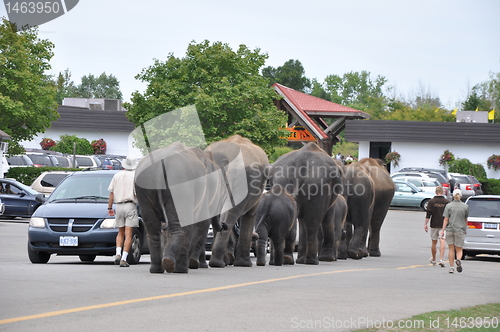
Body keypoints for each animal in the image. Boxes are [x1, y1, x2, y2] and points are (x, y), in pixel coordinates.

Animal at [134, 141, 226, 274]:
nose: (224, 226)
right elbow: (200, 224)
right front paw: (188, 265)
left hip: (144, 186)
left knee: (152, 227)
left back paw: (157, 269)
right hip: (179, 183)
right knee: (180, 226)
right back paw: (173, 266)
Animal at [206, 135, 272, 268]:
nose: (223, 225)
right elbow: (250, 214)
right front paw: (244, 264)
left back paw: (220, 262)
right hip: (242, 178)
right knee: (232, 214)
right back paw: (223, 263)